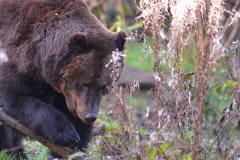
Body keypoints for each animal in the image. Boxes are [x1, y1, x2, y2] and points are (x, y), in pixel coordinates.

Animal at [0, 0, 126, 159]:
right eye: (85, 84)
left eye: (104, 86)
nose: (91, 116)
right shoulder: (19, 58)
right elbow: (14, 96)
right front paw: (67, 134)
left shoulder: (67, 95)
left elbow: (75, 118)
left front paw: (72, 148)